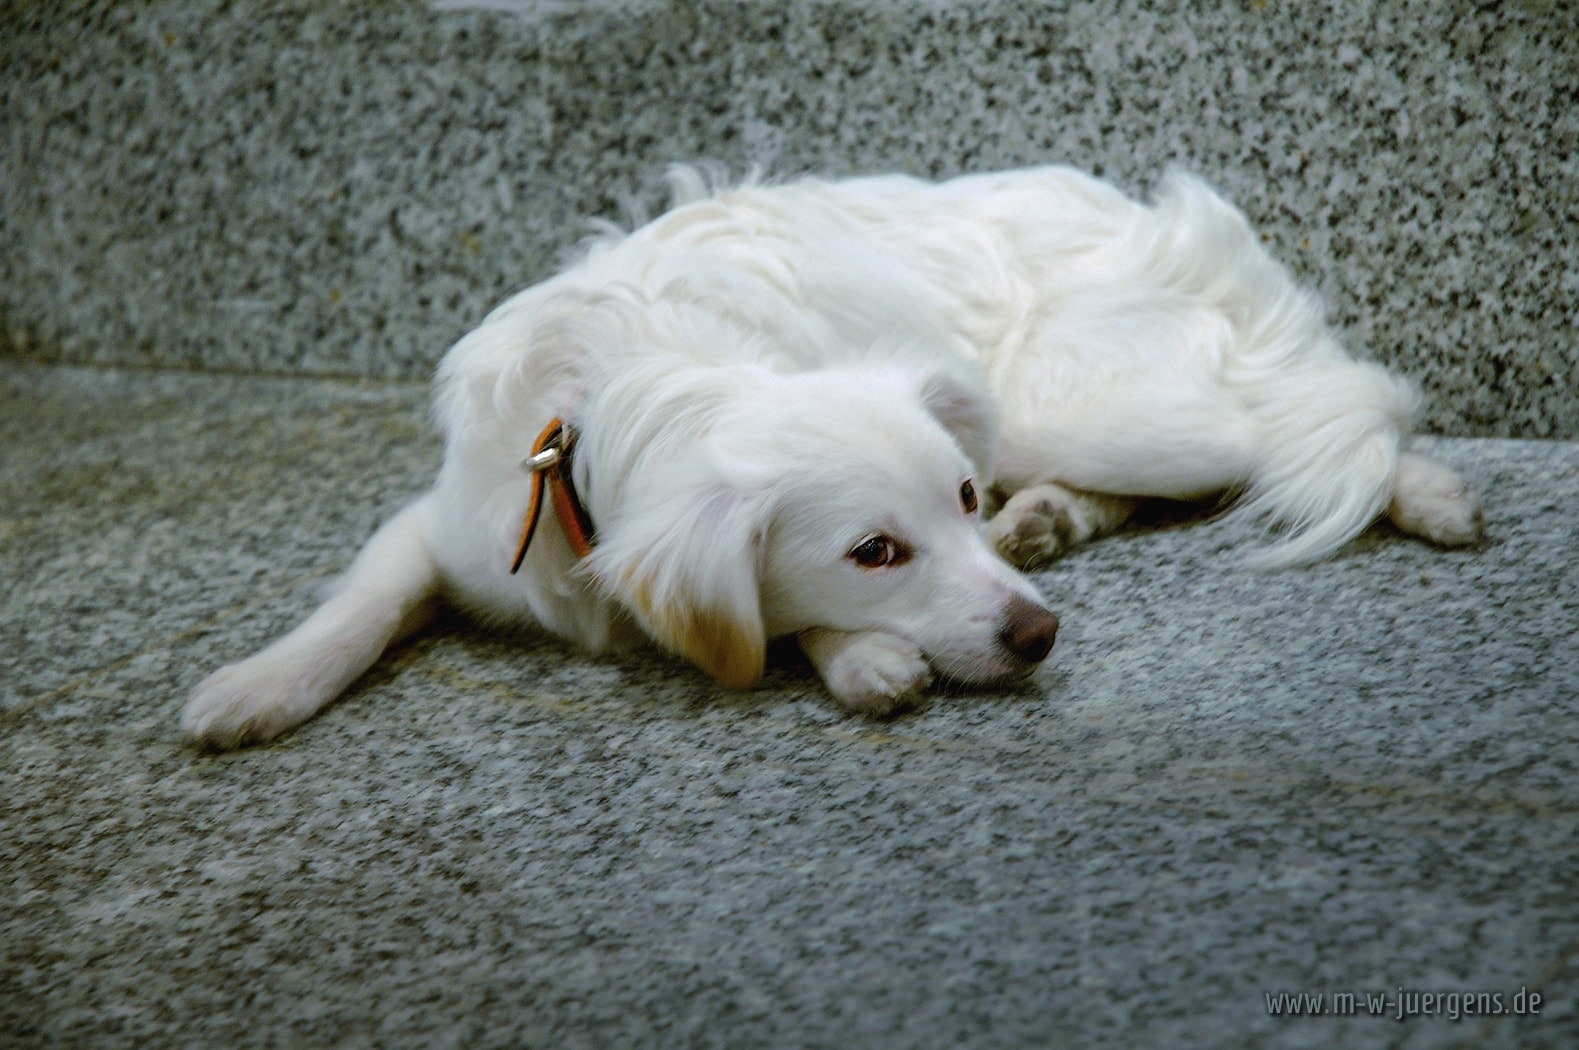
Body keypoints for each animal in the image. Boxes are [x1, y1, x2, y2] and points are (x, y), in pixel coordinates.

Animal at [181, 165, 1477, 745]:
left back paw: (1427, 492)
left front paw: (855, 658)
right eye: (875, 551)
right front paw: (256, 686)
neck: (624, 390)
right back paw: (1051, 516)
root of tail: (1140, 207)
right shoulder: (446, 525)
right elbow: (359, 606)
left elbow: (767, 624)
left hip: (1096, 407)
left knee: (1326, 405)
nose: (1041, 634)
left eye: (956, 496)